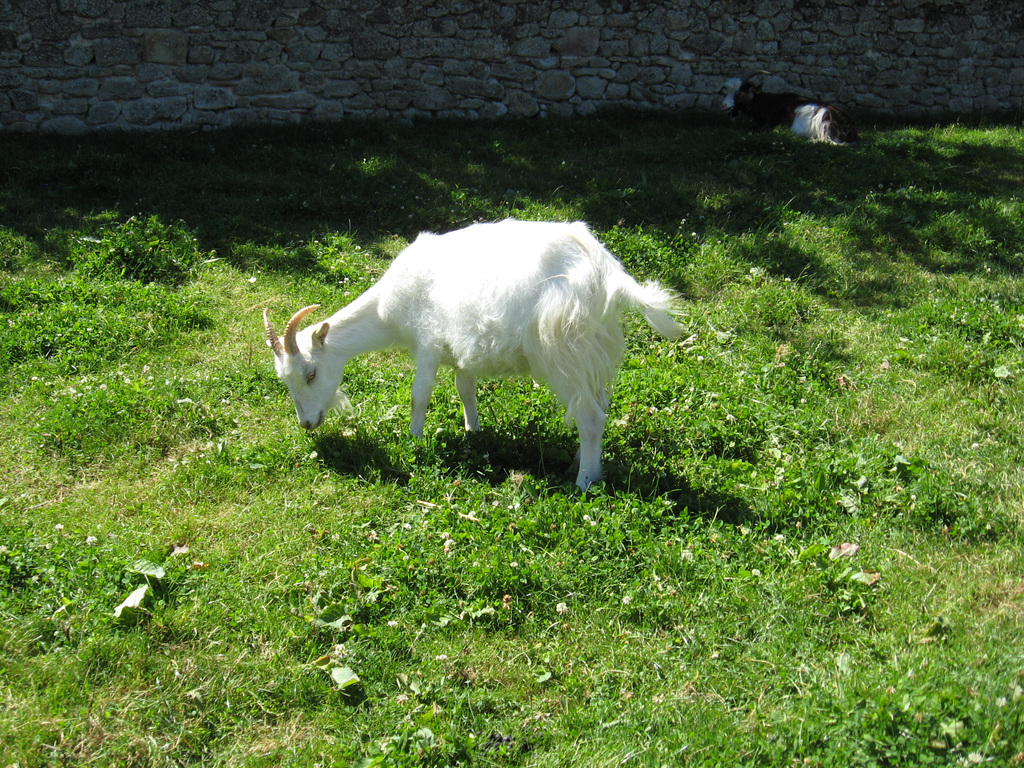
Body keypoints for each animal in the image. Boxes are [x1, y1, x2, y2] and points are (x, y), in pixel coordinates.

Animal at [264, 219, 684, 489]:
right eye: (285, 380)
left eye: (311, 373)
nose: (307, 424)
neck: (389, 307)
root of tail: (609, 275)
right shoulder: (459, 351)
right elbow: (465, 389)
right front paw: (473, 431)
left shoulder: (429, 343)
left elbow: (420, 395)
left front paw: (414, 441)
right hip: (592, 351)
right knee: (596, 407)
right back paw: (578, 465)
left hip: (562, 351)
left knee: (591, 417)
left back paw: (585, 482)